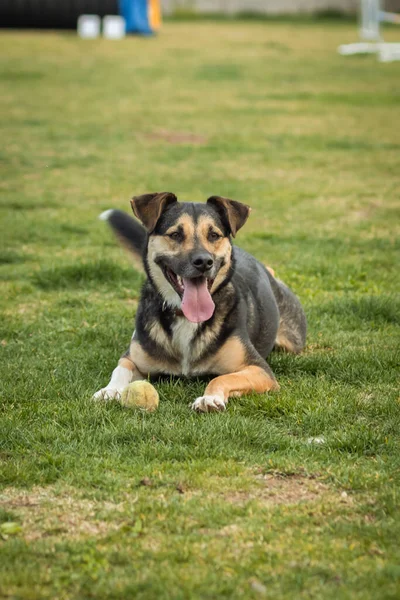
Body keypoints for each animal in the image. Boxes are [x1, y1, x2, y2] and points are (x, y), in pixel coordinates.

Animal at [94, 195, 306, 410]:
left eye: (213, 235)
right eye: (175, 234)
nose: (204, 262)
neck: (185, 317)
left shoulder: (259, 369)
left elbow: (221, 378)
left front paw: (209, 398)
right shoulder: (134, 356)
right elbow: (121, 367)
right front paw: (110, 390)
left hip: (292, 340)